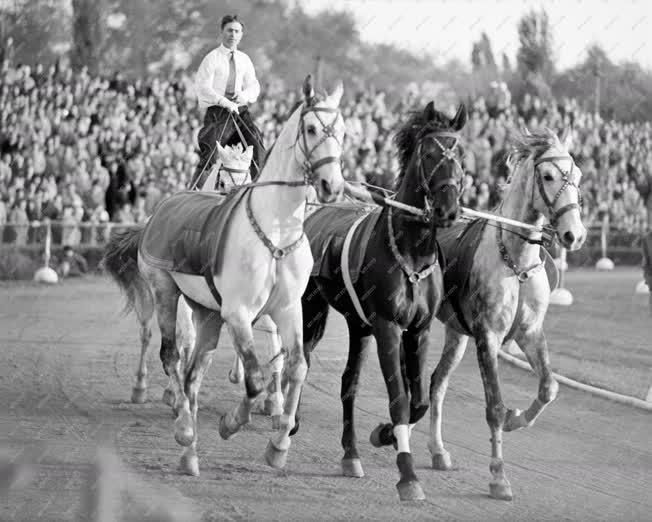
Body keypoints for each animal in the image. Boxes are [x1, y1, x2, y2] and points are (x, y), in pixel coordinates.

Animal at [103, 75, 346, 474]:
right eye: (311, 128)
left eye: (341, 130)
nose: (332, 186)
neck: (273, 231)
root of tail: (162, 208)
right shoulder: (237, 312)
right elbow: (255, 377)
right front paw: (232, 422)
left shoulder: (287, 309)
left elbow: (294, 368)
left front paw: (278, 443)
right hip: (166, 292)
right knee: (170, 353)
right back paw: (181, 424)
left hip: (208, 312)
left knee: (194, 371)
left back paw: (190, 453)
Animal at [298, 102, 466, 500]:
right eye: (430, 154)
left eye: (461, 154)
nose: (448, 210)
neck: (412, 252)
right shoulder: (387, 326)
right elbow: (399, 398)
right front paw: (408, 476)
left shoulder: (417, 330)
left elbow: (417, 400)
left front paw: (385, 433)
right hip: (312, 308)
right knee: (300, 357)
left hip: (358, 326)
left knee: (349, 384)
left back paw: (351, 454)